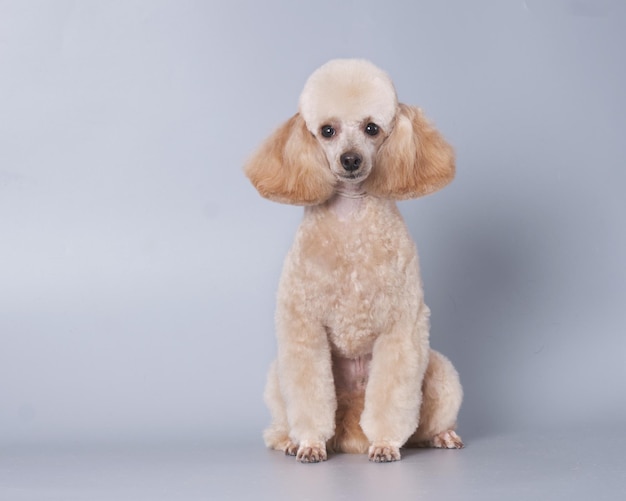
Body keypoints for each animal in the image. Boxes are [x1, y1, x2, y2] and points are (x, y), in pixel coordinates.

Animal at [244, 58, 464, 460]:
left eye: (371, 128)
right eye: (326, 131)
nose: (350, 160)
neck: (351, 218)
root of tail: (349, 434)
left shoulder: (402, 325)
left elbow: (393, 394)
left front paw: (385, 443)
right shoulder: (303, 325)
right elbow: (308, 393)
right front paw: (310, 443)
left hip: (439, 370)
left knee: (424, 425)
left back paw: (442, 436)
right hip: (276, 375)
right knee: (278, 424)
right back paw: (289, 440)